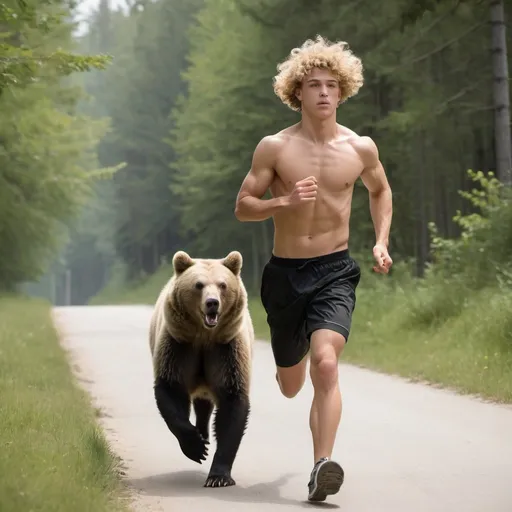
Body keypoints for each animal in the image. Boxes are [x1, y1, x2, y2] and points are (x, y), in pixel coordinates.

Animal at [148, 251, 254, 488]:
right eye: (198, 284)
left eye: (223, 285)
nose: (212, 303)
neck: (204, 335)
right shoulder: (179, 345)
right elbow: (170, 389)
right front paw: (196, 447)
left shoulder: (227, 349)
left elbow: (232, 406)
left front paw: (218, 476)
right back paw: (201, 434)